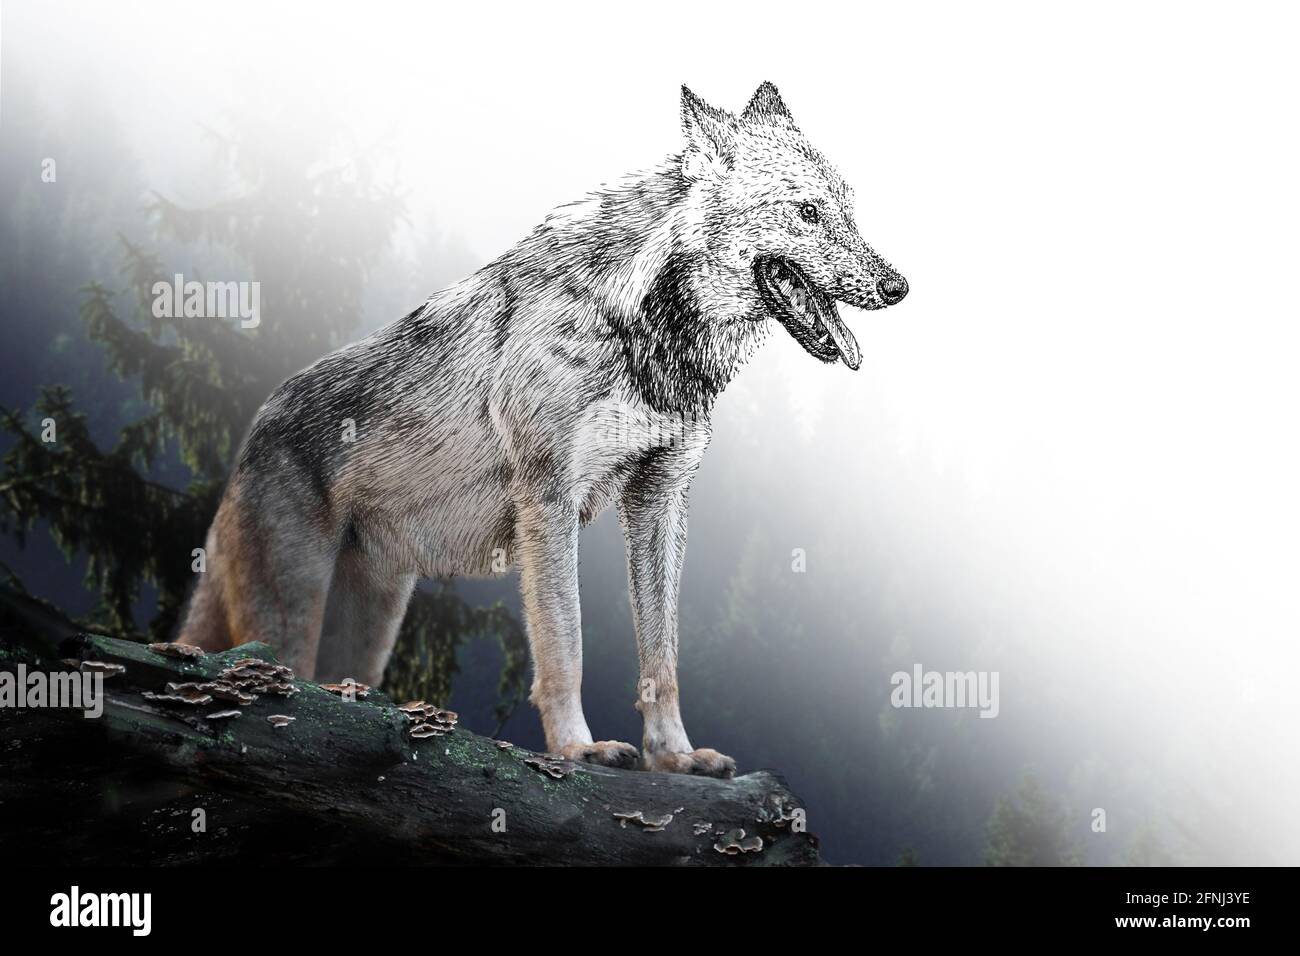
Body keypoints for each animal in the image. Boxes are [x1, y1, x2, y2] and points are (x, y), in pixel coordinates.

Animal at [179, 82, 907, 777]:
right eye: (808, 212)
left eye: (850, 210)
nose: (898, 285)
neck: (641, 328)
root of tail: (255, 429)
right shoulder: (549, 498)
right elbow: (566, 644)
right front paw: (578, 749)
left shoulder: (660, 501)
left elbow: (662, 659)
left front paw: (675, 757)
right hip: (290, 618)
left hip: (368, 632)